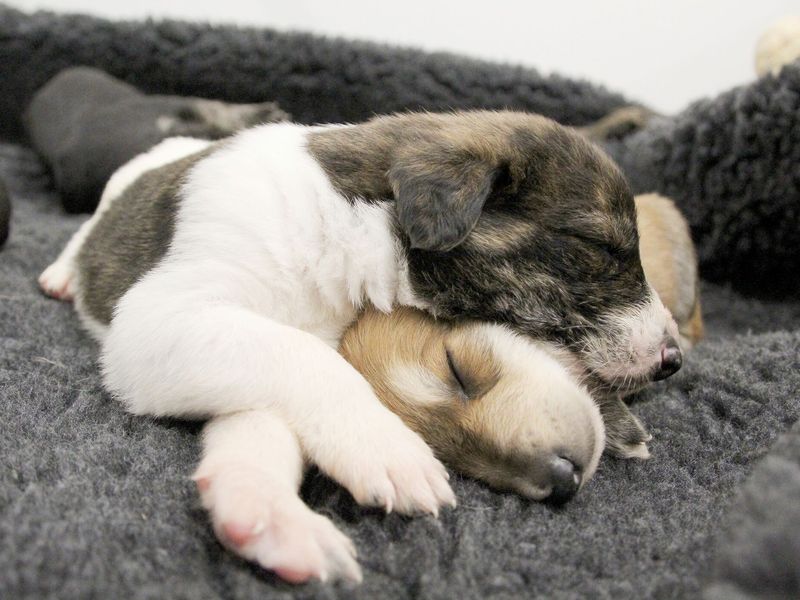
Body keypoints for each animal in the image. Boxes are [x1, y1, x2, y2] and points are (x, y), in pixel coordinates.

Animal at [40, 110, 680, 584]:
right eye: (601, 247)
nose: (674, 360)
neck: (341, 227)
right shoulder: (162, 318)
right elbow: (309, 360)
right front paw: (388, 449)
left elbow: (263, 422)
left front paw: (268, 513)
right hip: (117, 190)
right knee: (86, 227)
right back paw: (61, 272)